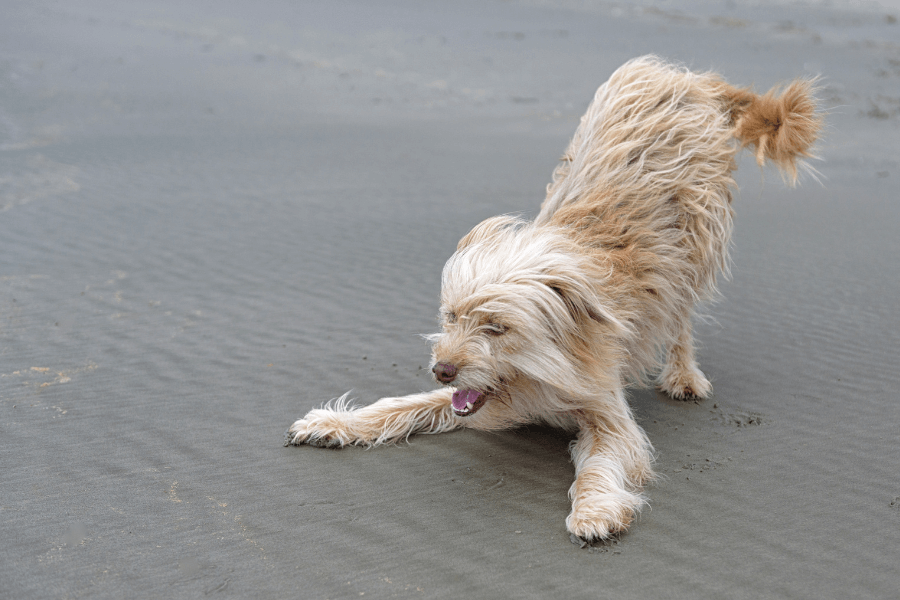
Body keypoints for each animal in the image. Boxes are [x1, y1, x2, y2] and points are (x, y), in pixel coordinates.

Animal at [284, 56, 820, 540]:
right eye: (451, 317)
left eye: (497, 327)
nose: (442, 368)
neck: (546, 369)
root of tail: (688, 77)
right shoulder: (464, 395)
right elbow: (401, 405)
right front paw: (337, 422)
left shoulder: (608, 413)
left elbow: (603, 460)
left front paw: (595, 508)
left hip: (697, 238)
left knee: (680, 313)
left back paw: (683, 373)